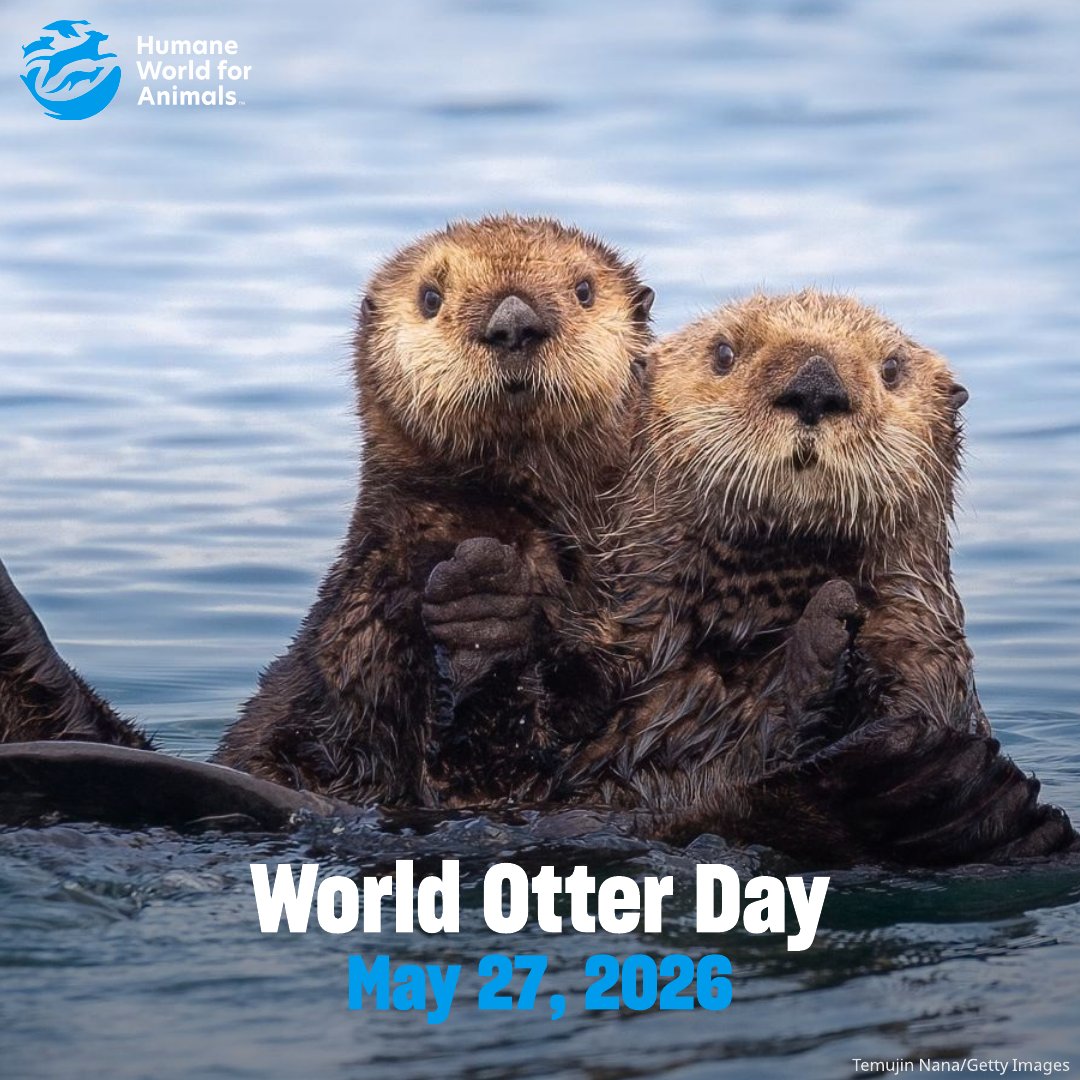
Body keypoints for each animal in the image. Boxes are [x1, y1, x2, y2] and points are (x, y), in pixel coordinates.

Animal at [212, 216, 655, 806]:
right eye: (430, 296)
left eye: (584, 290)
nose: (514, 324)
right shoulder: (373, 587)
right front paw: (479, 599)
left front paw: (484, 603)